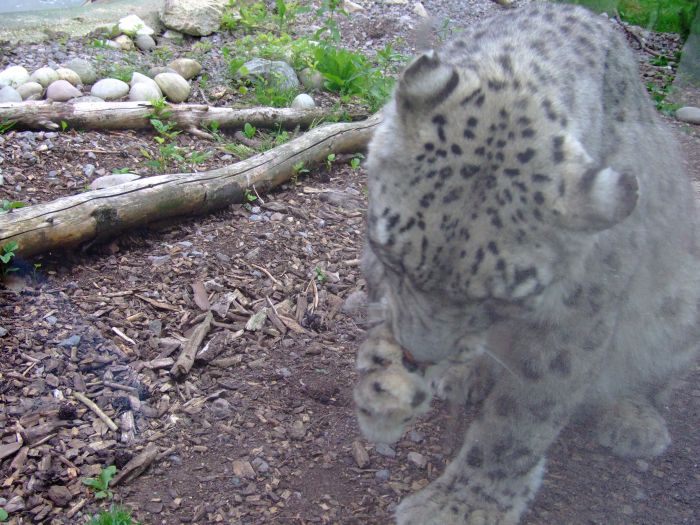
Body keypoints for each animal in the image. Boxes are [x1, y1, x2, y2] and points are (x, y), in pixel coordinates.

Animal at [353, 3, 700, 524]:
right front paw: (385, 383)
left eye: (499, 299)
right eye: (394, 257)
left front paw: (463, 504)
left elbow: (522, 417)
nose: (419, 356)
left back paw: (633, 419)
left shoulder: (579, 314)